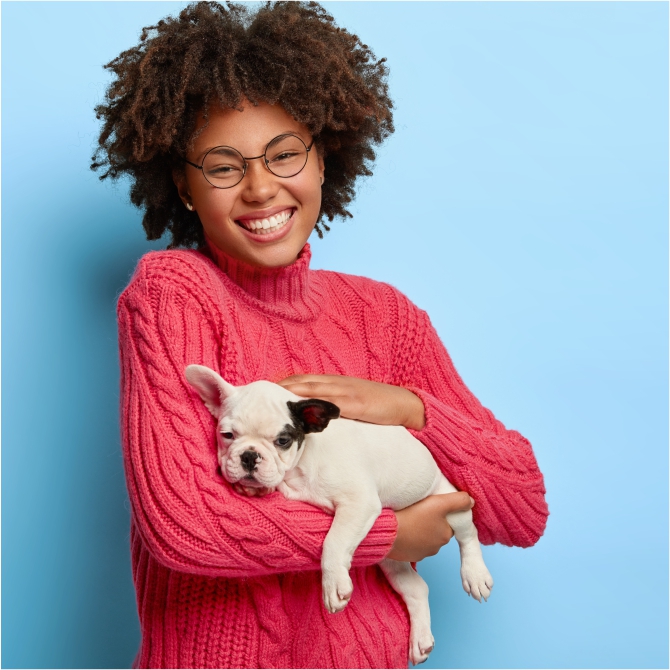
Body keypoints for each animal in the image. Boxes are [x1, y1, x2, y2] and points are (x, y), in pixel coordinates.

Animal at [184, 368, 494, 668]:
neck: (300, 465)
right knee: (415, 587)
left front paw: (333, 585)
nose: (249, 456)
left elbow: (333, 542)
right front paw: (254, 487)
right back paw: (421, 639)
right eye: (227, 435)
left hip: (451, 504)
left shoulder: (359, 502)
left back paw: (475, 575)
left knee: (469, 535)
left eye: (283, 441)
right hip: (391, 559)